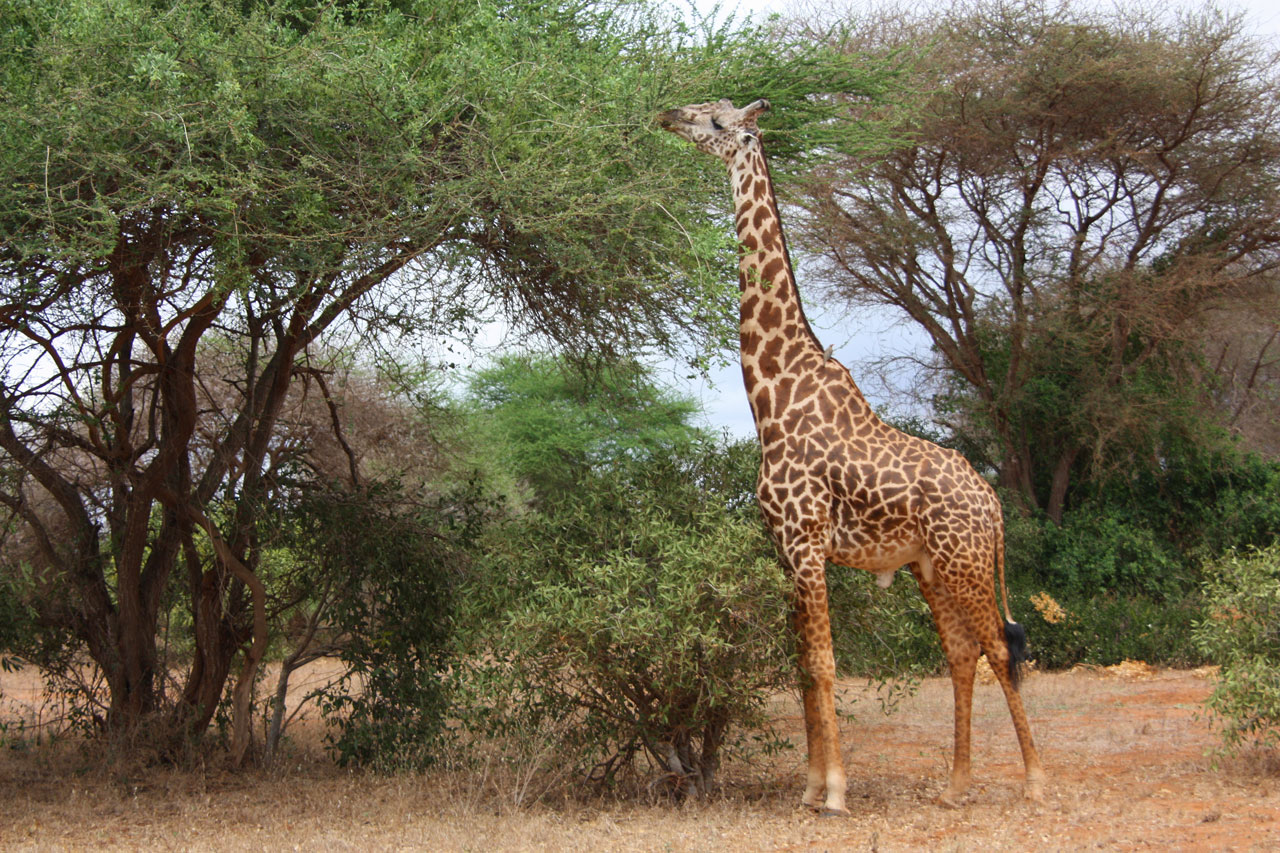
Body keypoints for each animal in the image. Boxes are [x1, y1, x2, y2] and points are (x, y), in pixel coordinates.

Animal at [665, 97, 1044, 809]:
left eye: (720, 123)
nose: (670, 114)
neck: (772, 393)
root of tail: (993, 503)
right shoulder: (785, 549)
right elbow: (802, 668)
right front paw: (811, 789)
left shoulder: (808, 540)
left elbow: (823, 663)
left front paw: (836, 792)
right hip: (932, 567)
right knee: (961, 653)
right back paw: (955, 785)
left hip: (967, 563)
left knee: (1002, 649)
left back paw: (1035, 781)